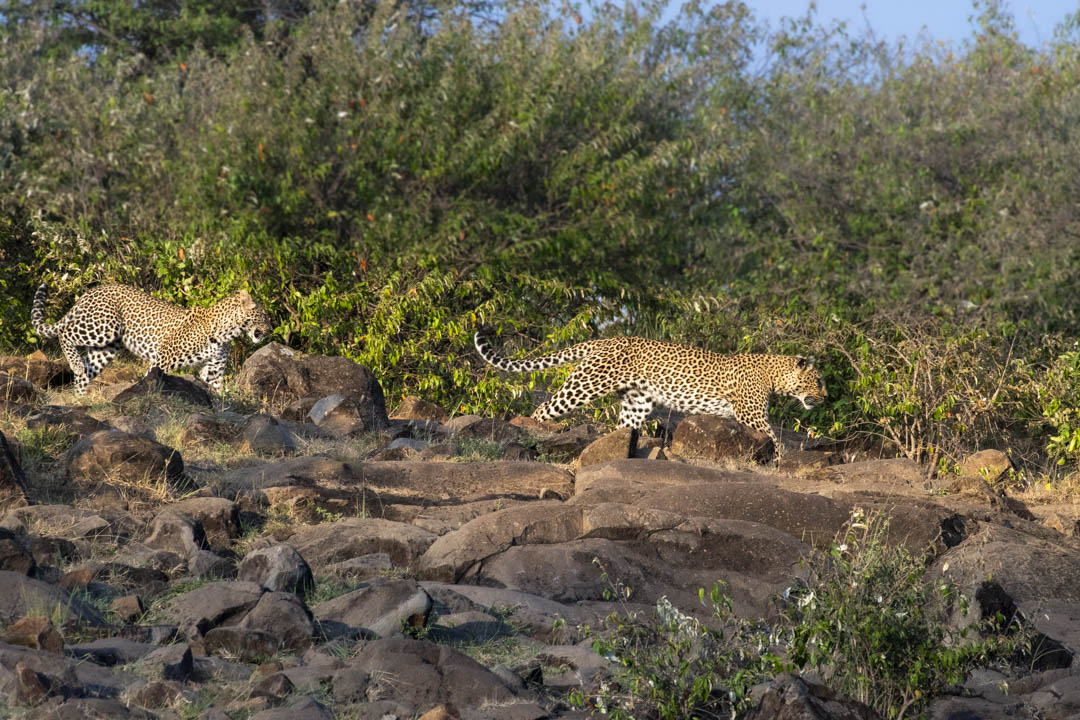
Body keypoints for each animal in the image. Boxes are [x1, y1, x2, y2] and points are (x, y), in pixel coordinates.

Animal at [32, 284, 272, 395]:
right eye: (264, 316)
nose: (270, 330)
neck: (226, 332)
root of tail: (91, 291)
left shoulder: (213, 369)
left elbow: (218, 391)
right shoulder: (163, 361)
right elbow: (152, 380)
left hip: (106, 348)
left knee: (85, 373)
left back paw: (80, 398)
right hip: (103, 327)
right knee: (65, 333)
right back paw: (75, 364)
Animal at [474, 332, 827, 454]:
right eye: (819, 380)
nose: (827, 397)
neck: (775, 376)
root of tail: (605, 339)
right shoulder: (751, 416)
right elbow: (776, 440)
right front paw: (785, 460)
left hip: (636, 403)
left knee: (622, 429)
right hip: (585, 384)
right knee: (544, 409)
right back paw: (534, 429)